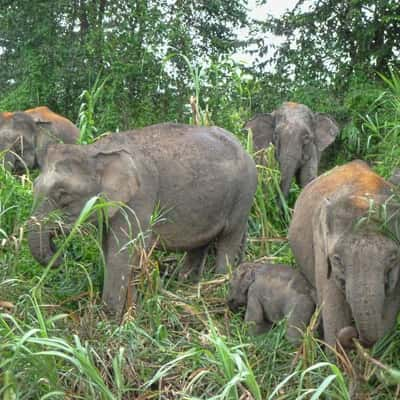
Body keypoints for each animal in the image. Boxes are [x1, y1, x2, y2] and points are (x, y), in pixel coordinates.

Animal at [28, 122, 260, 318]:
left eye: (63, 195)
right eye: (35, 187)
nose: (58, 254)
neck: (95, 151)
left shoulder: (140, 197)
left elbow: (121, 253)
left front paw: (110, 319)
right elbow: (111, 249)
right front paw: (128, 312)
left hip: (244, 195)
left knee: (229, 240)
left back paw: (216, 284)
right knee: (199, 245)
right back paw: (188, 287)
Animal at [290, 159, 400, 346]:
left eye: (393, 259)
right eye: (337, 259)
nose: (354, 334)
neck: (363, 195)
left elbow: (390, 309)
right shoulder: (321, 248)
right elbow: (334, 312)